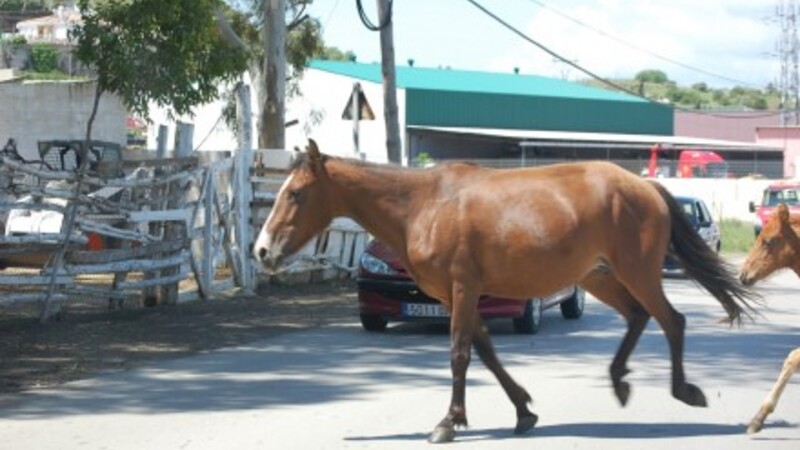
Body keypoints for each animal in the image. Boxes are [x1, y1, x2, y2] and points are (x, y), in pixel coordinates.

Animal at [254, 140, 759, 443]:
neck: (422, 205)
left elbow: (460, 353)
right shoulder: (459, 296)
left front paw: (448, 423)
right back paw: (619, 380)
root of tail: (645, 187)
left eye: (295, 193)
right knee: (638, 316)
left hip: (636, 271)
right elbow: (487, 352)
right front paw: (522, 412)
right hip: (599, 276)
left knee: (671, 320)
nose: (261, 250)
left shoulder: (462, 288)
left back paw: (683, 391)